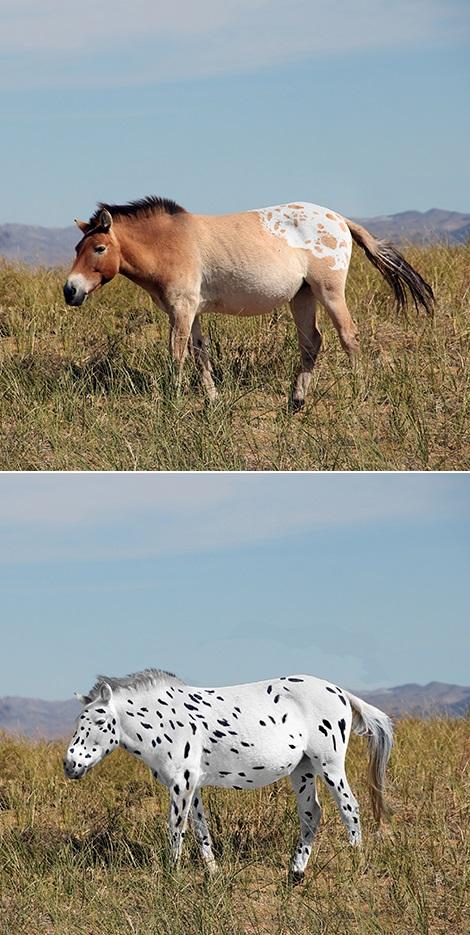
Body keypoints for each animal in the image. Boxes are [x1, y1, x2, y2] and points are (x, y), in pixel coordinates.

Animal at [63, 199, 434, 408]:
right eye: (76, 249)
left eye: (99, 248)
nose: (70, 290)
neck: (170, 243)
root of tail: (340, 218)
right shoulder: (191, 311)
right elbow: (200, 354)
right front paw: (212, 400)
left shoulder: (182, 310)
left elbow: (177, 354)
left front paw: (173, 400)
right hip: (302, 297)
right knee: (312, 342)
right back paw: (296, 401)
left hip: (329, 292)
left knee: (348, 336)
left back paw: (359, 393)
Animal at [63, 668, 392, 880]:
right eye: (79, 720)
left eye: (100, 721)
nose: (70, 765)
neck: (165, 718)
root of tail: (340, 692)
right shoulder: (191, 785)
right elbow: (200, 829)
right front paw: (213, 872)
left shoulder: (181, 783)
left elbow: (176, 828)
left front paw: (171, 875)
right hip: (303, 770)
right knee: (311, 813)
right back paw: (296, 873)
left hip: (329, 765)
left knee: (349, 808)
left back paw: (356, 866)